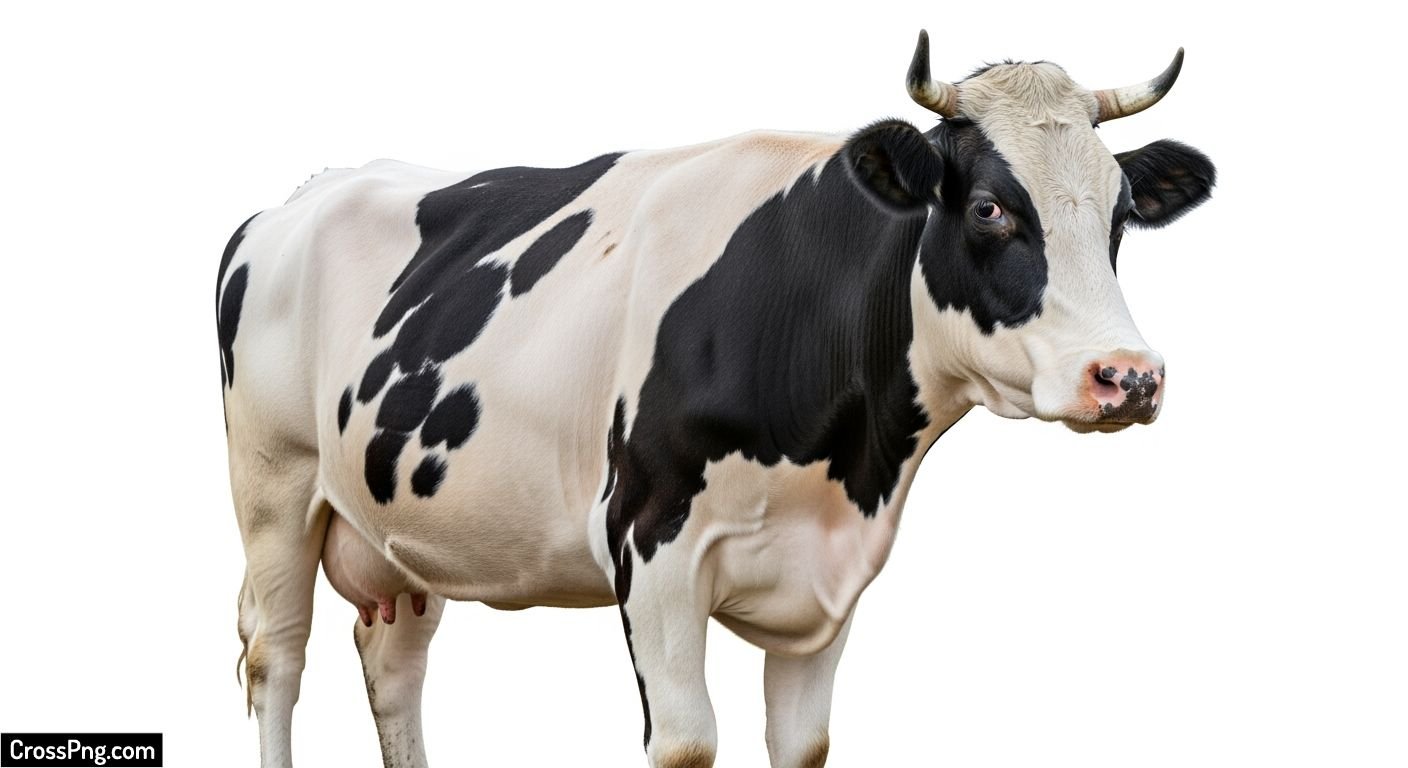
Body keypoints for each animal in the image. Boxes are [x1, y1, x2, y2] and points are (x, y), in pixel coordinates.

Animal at [219, 31, 1214, 768]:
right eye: (989, 210)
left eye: (1121, 214)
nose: (1128, 375)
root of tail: (296, 198)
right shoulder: (649, 544)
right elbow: (689, 743)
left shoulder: (828, 579)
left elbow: (803, 743)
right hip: (274, 489)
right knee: (279, 659)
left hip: (404, 524)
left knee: (394, 668)